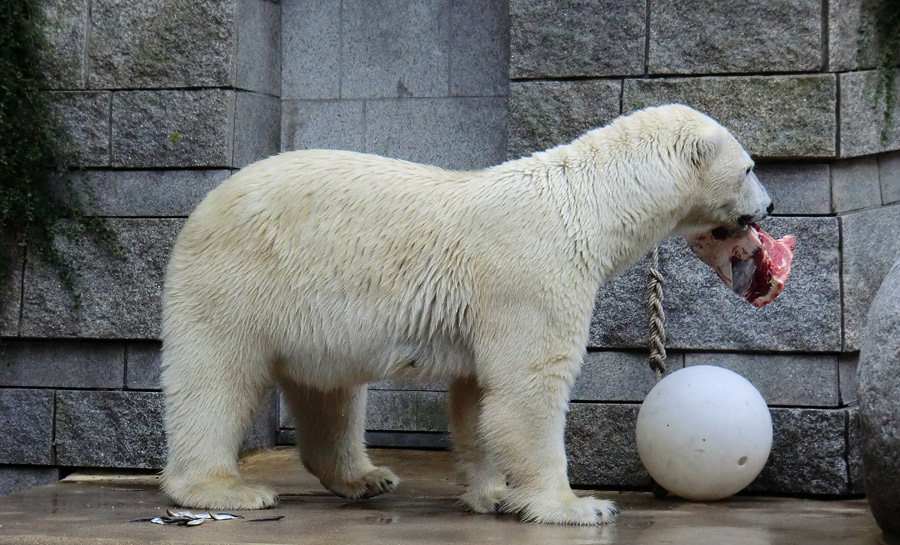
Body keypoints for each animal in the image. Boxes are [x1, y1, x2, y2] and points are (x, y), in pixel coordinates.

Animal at [160, 102, 772, 524]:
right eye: (749, 168)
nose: (769, 206)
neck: (586, 208)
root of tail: (204, 206)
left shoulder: (487, 306)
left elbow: (478, 397)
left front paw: (494, 493)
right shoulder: (533, 274)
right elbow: (528, 387)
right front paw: (577, 506)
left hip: (311, 319)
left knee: (329, 392)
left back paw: (366, 477)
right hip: (239, 280)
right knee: (214, 379)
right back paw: (225, 489)